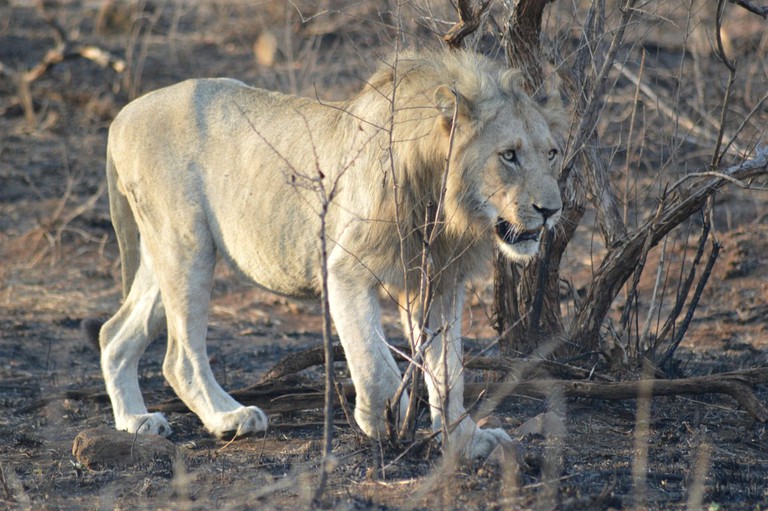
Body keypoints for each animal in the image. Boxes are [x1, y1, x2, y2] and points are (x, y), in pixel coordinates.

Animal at [94, 49, 564, 460]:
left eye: (551, 153)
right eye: (508, 155)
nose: (552, 210)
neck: (444, 204)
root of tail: (124, 115)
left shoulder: (439, 280)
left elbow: (450, 371)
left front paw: (466, 441)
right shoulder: (345, 269)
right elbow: (375, 363)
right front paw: (383, 420)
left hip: (161, 251)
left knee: (113, 333)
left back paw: (136, 421)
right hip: (187, 245)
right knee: (179, 357)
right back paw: (230, 417)